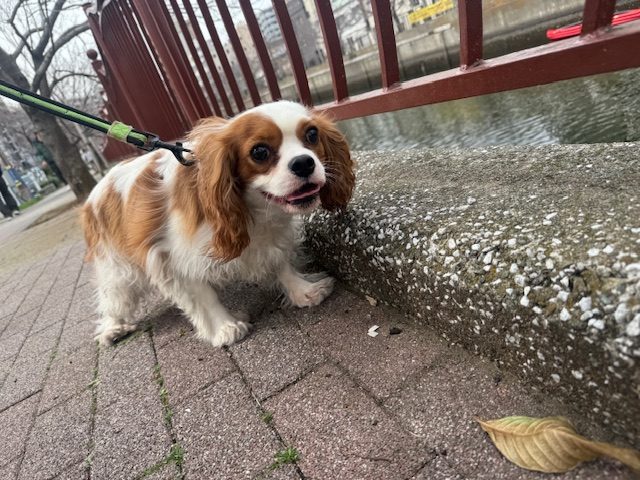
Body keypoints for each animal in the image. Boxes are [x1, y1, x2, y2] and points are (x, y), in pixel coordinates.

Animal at [80, 101, 356, 346]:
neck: (254, 210)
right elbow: (203, 297)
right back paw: (113, 328)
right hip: (116, 266)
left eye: (312, 134)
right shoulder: (171, 259)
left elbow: (281, 264)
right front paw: (225, 328)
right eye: (259, 152)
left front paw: (304, 291)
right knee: (113, 297)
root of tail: (94, 192)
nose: (303, 162)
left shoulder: (273, 237)